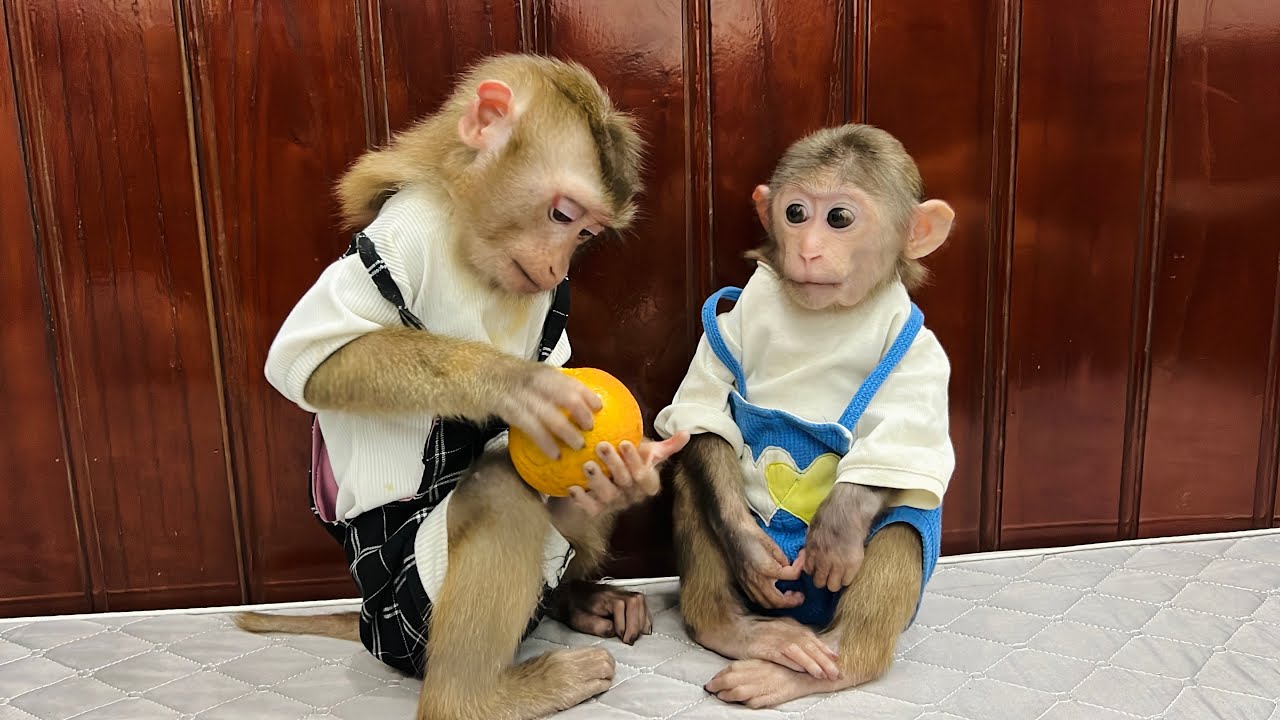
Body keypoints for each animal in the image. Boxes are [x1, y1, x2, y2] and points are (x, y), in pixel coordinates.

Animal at [233, 53, 689, 720]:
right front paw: (517, 384)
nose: (557, 268)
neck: (468, 250)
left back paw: (578, 596)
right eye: (561, 216)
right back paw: (477, 697)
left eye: (584, 235)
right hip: (407, 612)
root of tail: (367, 623)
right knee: (499, 490)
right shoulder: (400, 237)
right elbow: (311, 361)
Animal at [653, 123, 955, 708]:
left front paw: (836, 527)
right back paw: (737, 629)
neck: (830, 315)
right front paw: (749, 549)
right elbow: (704, 416)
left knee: (907, 526)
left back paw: (835, 660)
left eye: (838, 218)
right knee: (694, 480)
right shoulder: (729, 323)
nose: (809, 250)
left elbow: (902, 448)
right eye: (795, 213)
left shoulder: (923, 353)